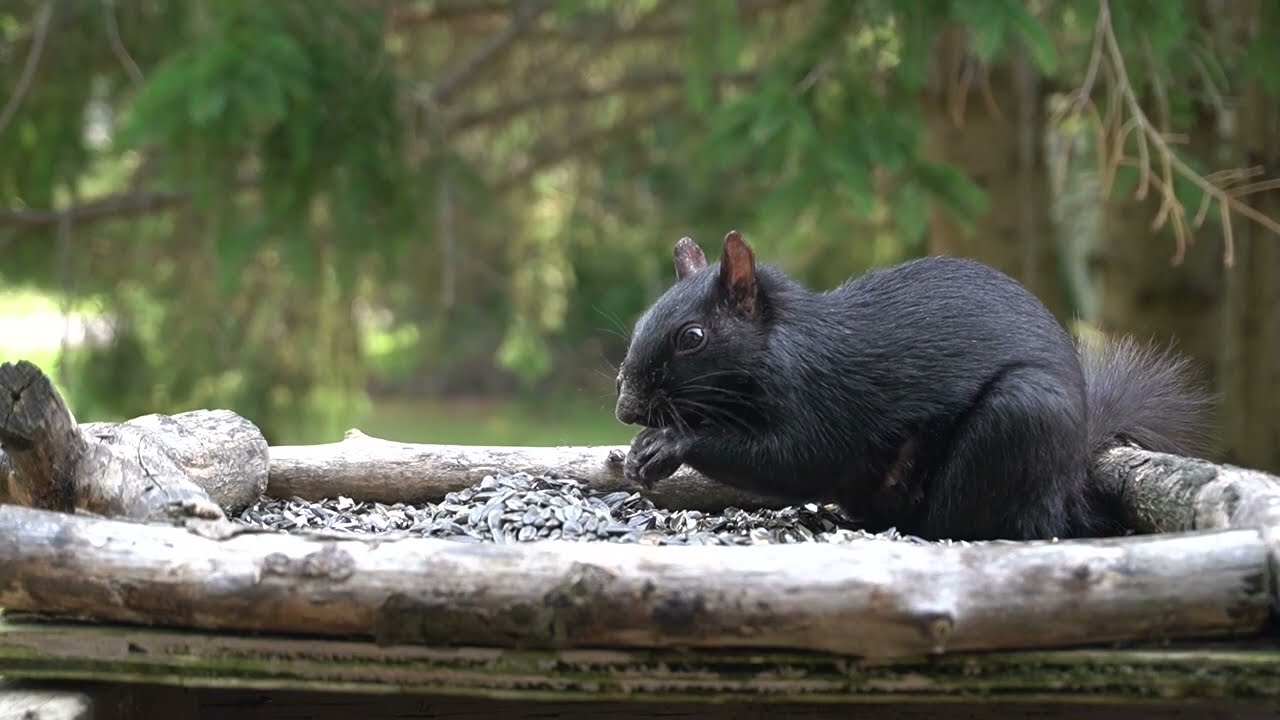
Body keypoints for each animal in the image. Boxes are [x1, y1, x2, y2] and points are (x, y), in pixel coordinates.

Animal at [613, 230, 1214, 542]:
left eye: (692, 337)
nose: (625, 408)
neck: (780, 345)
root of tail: (1070, 488)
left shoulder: (821, 399)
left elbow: (793, 459)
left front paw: (669, 445)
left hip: (1021, 418)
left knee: (971, 524)